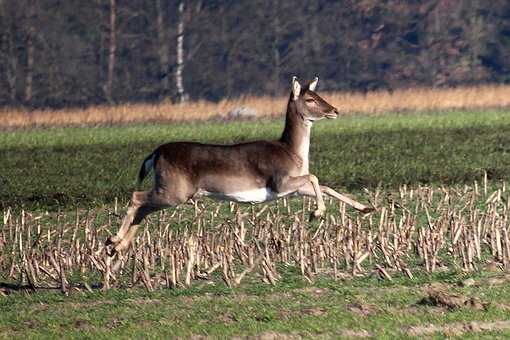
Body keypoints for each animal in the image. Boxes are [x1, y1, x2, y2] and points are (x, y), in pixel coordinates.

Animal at [105, 77, 372, 256]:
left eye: (319, 95)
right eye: (310, 99)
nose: (335, 110)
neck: (293, 153)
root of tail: (156, 153)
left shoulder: (291, 188)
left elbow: (324, 186)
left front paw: (365, 208)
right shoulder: (279, 181)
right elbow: (315, 177)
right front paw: (316, 213)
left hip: (171, 189)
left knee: (143, 208)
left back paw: (119, 246)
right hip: (174, 189)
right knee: (137, 196)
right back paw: (113, 239)